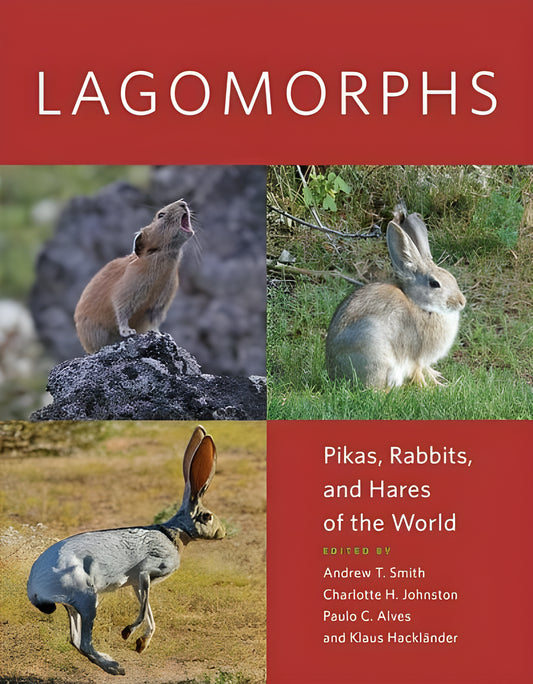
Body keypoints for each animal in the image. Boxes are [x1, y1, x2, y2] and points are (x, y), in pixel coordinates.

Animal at [27, 425, 225, 676]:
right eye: (207, 517)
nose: (223, 533)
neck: (173, 532)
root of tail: (35, 589)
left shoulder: (138, 583)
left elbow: (149, 611)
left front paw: (141, 644)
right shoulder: (147, 571)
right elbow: (143, 610)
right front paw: (128, 633)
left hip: (75, 605)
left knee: (75, 640)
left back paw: (108, 660)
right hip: (86, 597)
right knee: (84, 642)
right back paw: (115, 668)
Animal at [325, 204, 466, 389]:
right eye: (434, 284)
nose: (462, 302)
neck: (421, 306)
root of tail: (334, 372)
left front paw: (437, 378)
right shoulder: (416, 358)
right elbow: (418, 372)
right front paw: (432, 387)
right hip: (374, 353)